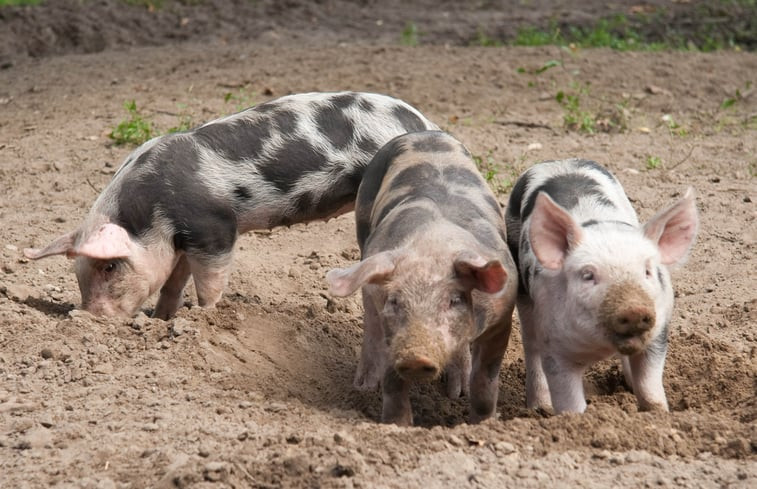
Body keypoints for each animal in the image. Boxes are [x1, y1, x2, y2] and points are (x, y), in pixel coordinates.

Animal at [23, 92, 438, 320]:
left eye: (110, 266)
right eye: (78, 273)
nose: (87, 316)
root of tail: (423, 121)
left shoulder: (215, 228)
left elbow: (210, 282)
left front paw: (204, 318)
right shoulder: (183, 240)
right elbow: (172, 283)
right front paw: (161, 320)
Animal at [324, 130, 520, 424]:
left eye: (454, 300)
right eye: (395, 301)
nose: (416, 358)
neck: (433, 244)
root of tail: (423, 133)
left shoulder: (502, 316)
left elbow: (485, 381)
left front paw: (482, 422)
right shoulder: (392, 331)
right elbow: (393, 382)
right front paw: (397, 425)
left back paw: (458, 391)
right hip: (364, 226)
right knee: (370, 319)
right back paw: (365, 386)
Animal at [504, 158, 700, 414]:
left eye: (647, 271)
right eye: (588, 275)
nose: (634, 309)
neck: (601, 346)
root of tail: (560, 161)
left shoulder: (659, 332)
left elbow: (650, 387)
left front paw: (658, 413)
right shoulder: (555, 346)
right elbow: (570, 402)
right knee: (531, 345)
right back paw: (540, 408)